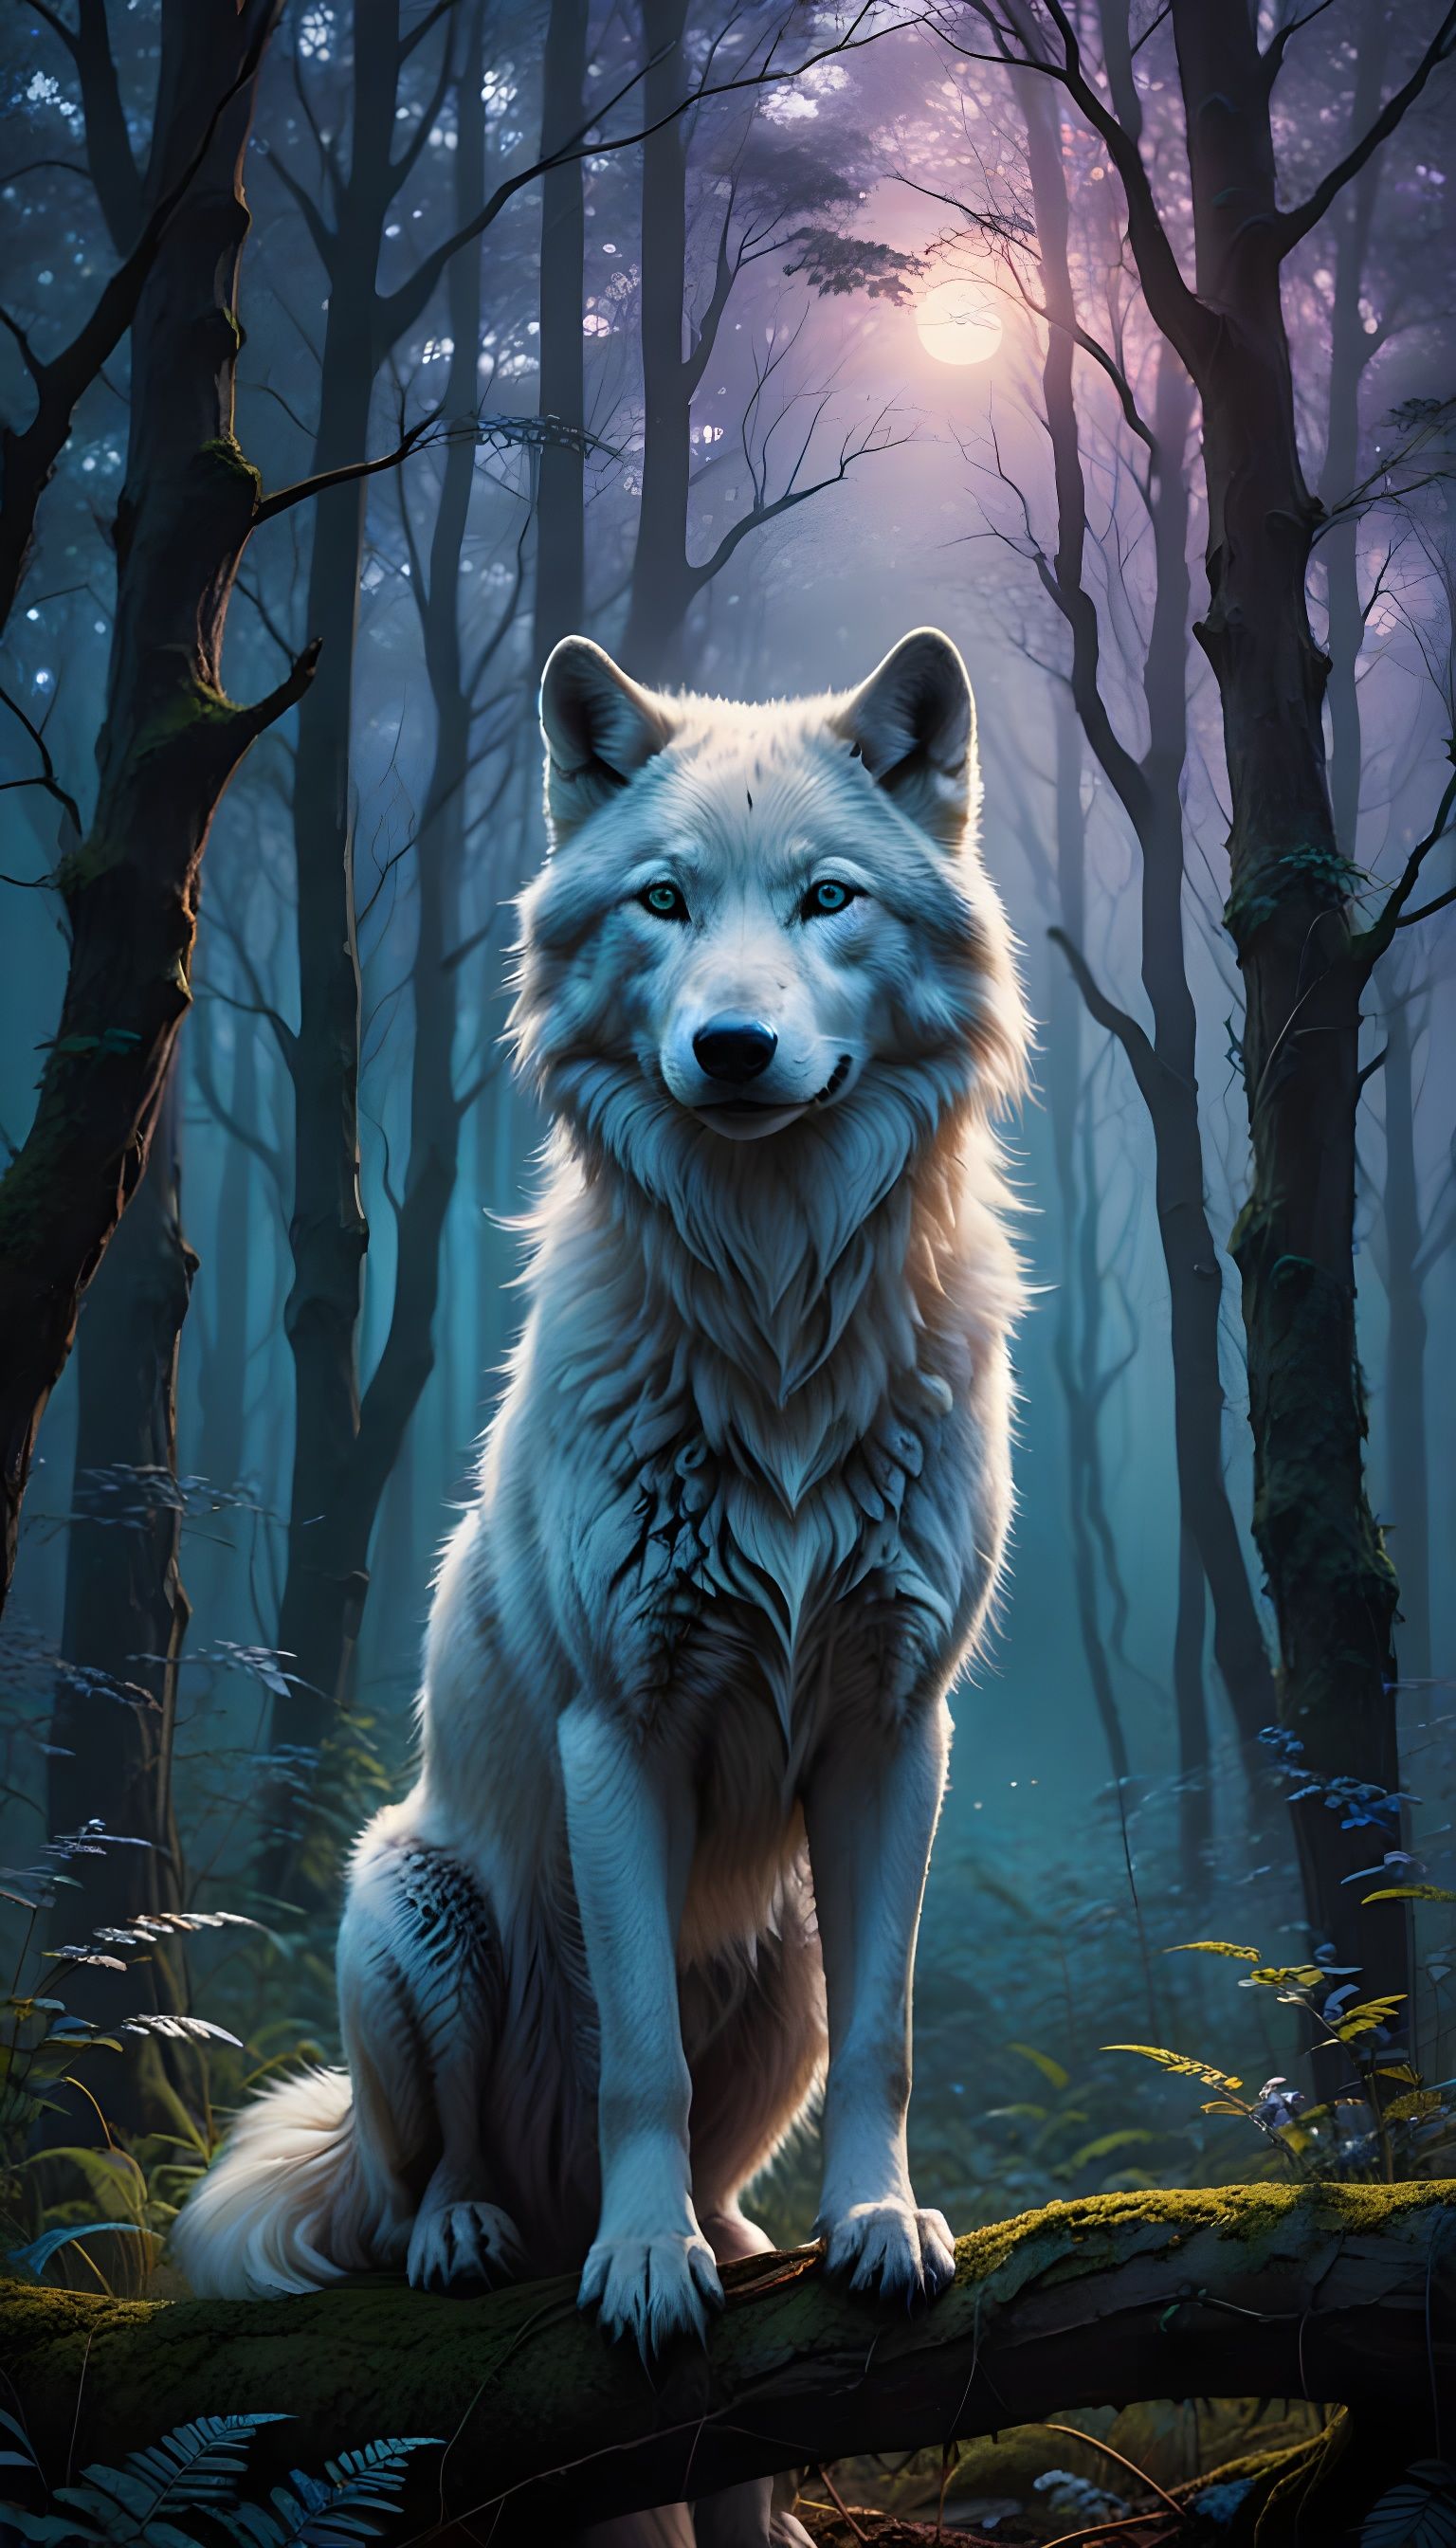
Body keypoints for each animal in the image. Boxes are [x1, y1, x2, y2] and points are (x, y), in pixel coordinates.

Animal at [171, 627, 1029, 2546]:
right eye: (663, 900)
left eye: (827, 898)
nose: (732, 1042)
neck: (774, 1333)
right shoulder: (613, 1728)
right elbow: (639, 2043)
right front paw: (637, 2274)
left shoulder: (903, 1728)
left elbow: (895, 2038)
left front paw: (879, 2224)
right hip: (407, 1908)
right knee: (426, 2175)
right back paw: (500, 2232)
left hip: (784, 1967)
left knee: (742, 2130)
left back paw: (733, 2235)